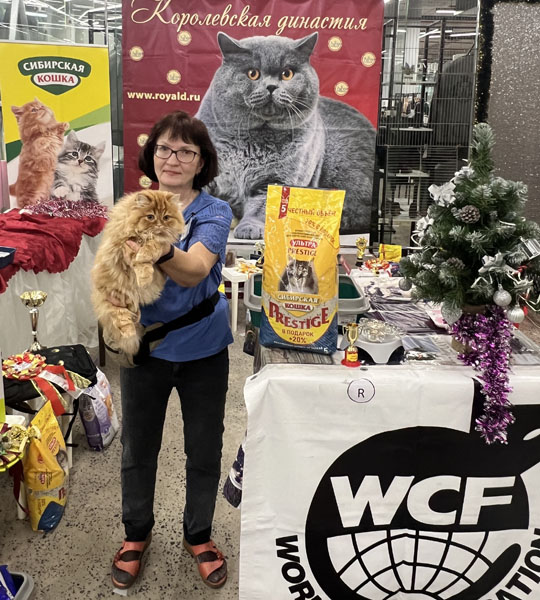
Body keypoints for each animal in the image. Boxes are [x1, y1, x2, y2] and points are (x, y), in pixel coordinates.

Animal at [91, 190, 185, 356]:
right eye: (150, 217)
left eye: (166, 217)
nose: (159, 224)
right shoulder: (124, 244)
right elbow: (139, 261)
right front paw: (144, 277)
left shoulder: (161, 244)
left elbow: (153, 246)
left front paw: (145, 270)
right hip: (114, 297)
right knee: (122, 319)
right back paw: (129, 334)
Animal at [196, 32, 376, 239]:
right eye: (253, 73)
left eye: (287, 74)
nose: (271, 86)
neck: (250, 143)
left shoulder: (275, 180)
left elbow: (261, 207)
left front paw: (249, 228)